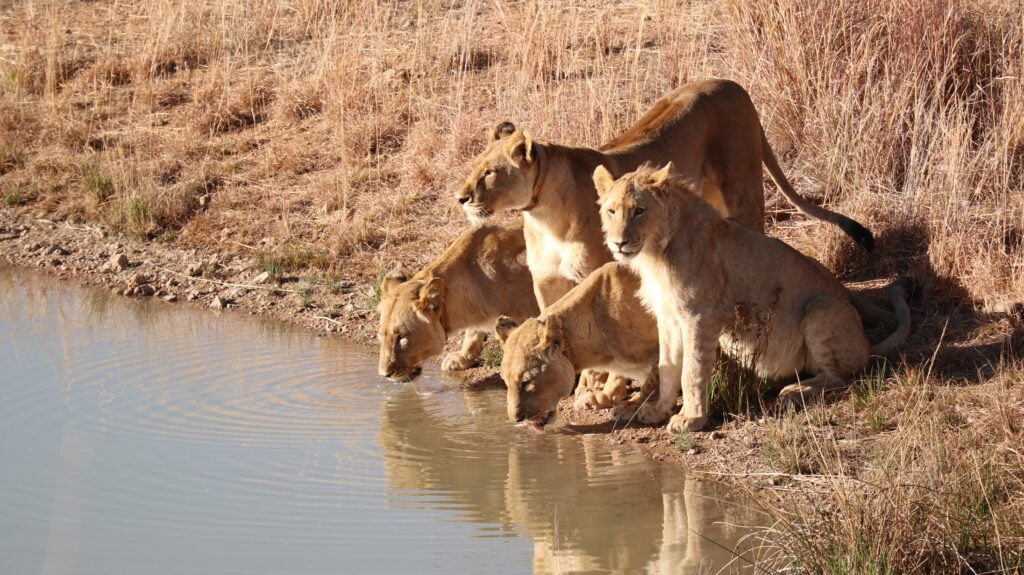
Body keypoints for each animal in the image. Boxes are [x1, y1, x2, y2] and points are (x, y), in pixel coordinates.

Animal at [456, 78, 872, 311]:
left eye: (490, 173)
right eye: (473, 167)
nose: (460, 198)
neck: (544, 217)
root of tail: (731, 82)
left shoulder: (601, 270)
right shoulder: (546, 281)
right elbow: (547, 322)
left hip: (743, 187)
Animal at [593, 161, 913, 429]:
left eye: (639, 210)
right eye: (611, 211)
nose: (619, 243)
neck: (655, 251)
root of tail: (866, 345)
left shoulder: (701, 315)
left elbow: (692, 371)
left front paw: (692, 419)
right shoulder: (669, 316)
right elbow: (668, 367)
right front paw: (658, 411)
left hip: (822, 307)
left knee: (839, 377)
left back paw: (793, 391)